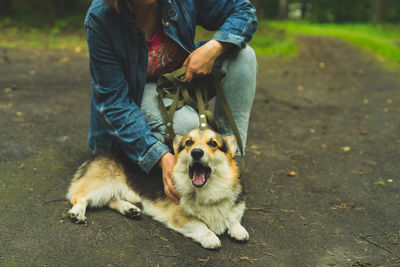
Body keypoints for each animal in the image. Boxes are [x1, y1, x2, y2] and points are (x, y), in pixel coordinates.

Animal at [67, 129, 248, 250]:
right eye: (189, 143)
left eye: (213, 143)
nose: (196, 152)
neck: (208, 192)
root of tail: (99, 154)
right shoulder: (179, 216)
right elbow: (200, 225)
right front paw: (211, 239)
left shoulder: (234, 207)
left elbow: (234, 217)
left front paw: (239, 230)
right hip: (102, 185)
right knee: (80, 197)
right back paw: (77, 213)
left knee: (111, 200)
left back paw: (130, 210)